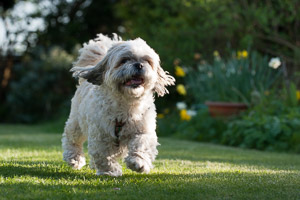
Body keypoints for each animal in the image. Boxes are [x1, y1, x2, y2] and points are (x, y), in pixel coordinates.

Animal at [62, 33, 175, 176]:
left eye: (147, 61)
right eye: (124, 60)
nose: (139, 65)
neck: (127, 104)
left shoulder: (143, 129)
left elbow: (142, 144)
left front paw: (138, 162)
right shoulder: (101, 134)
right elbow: (104, 155)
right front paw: (110, 171)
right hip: (76, 122)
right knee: (72, 139)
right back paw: (74, 158)